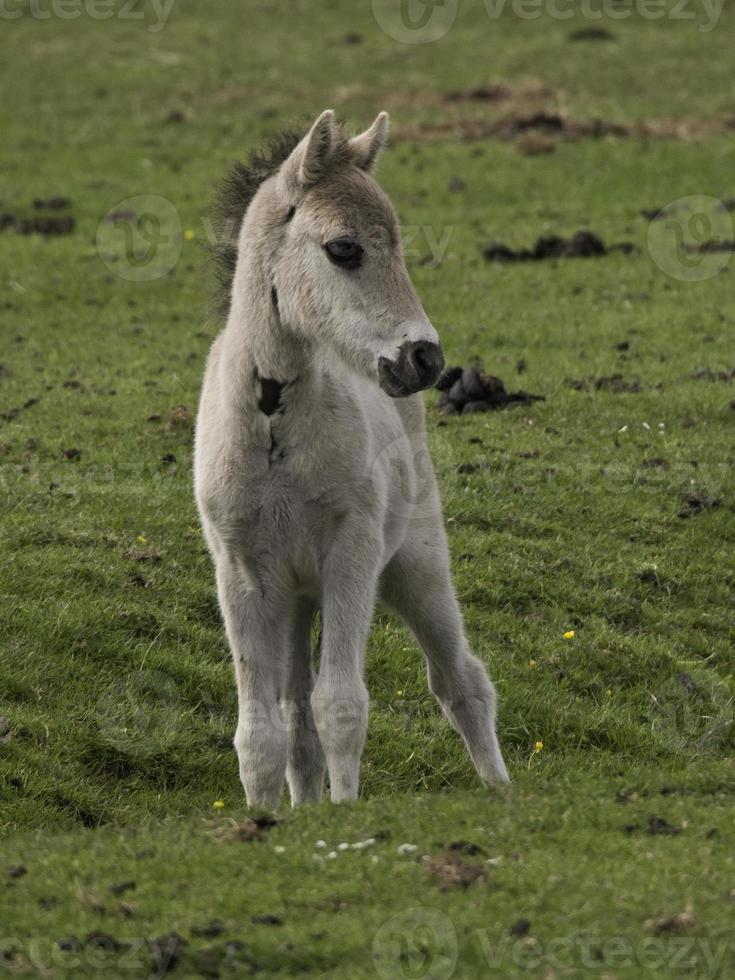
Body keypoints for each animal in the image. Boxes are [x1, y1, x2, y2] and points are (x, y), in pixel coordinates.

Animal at [193, 111, 508, 808]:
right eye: (344, 249)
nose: (425, 358)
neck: (275, 428)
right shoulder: (241, 572)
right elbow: (260, 732)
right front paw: (265, 817)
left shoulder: (353, 552)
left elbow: (341, 704)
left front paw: (345, 812)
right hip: (295, 597)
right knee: (294, 716)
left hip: (416, 566)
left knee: (461, 680)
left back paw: (502, 791)